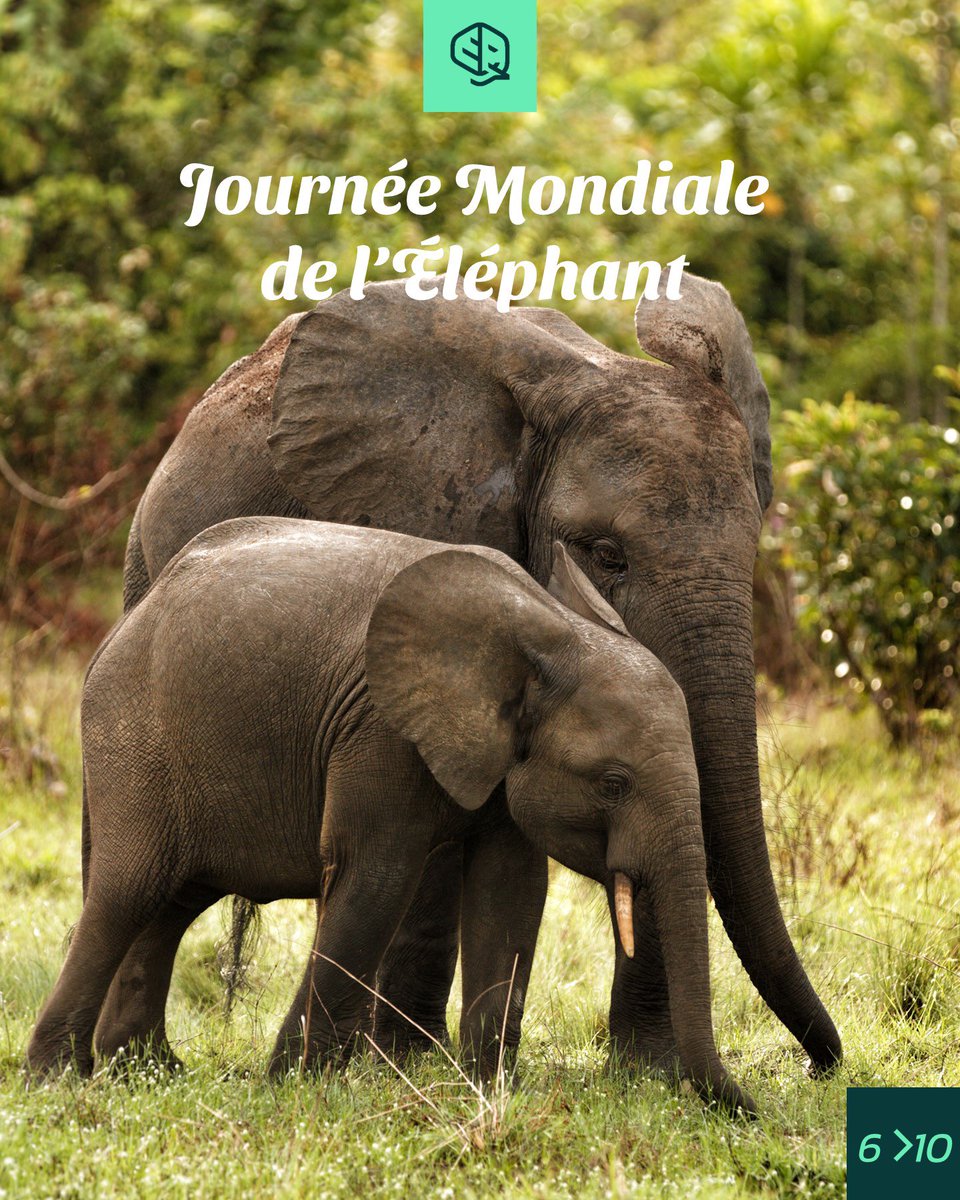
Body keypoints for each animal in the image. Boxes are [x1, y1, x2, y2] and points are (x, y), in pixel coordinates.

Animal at [27, 521, 753, 1114]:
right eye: (613, 783)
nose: (746, 1108)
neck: (547, 630)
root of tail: (126, 620)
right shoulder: (379, 727)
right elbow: (377, 877)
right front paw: (298, 1087)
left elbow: (511, 892)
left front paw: (485, 1089)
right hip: (132, 735)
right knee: (129, 891)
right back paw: (56, 1078)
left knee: (173, 903)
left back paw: (146, 1071)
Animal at [119, 274, 841, 1077]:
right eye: (606, 555)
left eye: (755, 545)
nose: (820, 1063)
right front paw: (404, 1060)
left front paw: (648, 1072)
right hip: (146, 563)